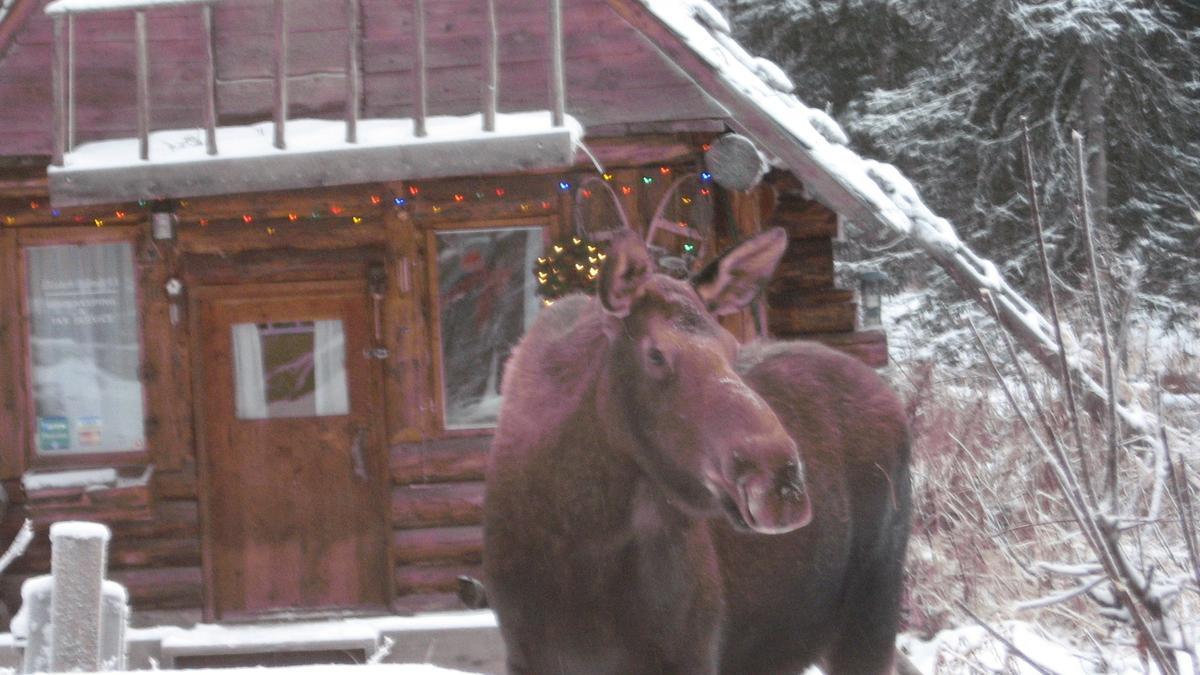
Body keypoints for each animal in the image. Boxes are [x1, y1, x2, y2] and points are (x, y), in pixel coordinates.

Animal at [477, 228, 907, 667]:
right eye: (655, 354)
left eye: (733, 349)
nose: (781, 483)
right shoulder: (526, 654)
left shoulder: (691, 650)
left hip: (874, 610)